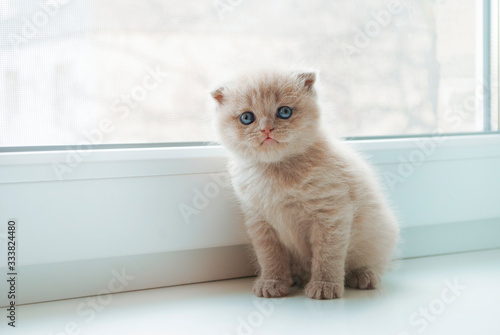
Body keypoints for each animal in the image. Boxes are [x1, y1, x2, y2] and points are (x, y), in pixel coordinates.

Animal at [210, 71, 398, 302]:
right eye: (247, 118)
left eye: (284, 112)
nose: (266, 129)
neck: (276, 171)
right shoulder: (260, 222)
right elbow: (270, 256)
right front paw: (272, 282)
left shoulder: (331, 214)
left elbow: (327, 254)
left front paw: (325, 285)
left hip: (380, 234)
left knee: (372, 262)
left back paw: (363, 275)